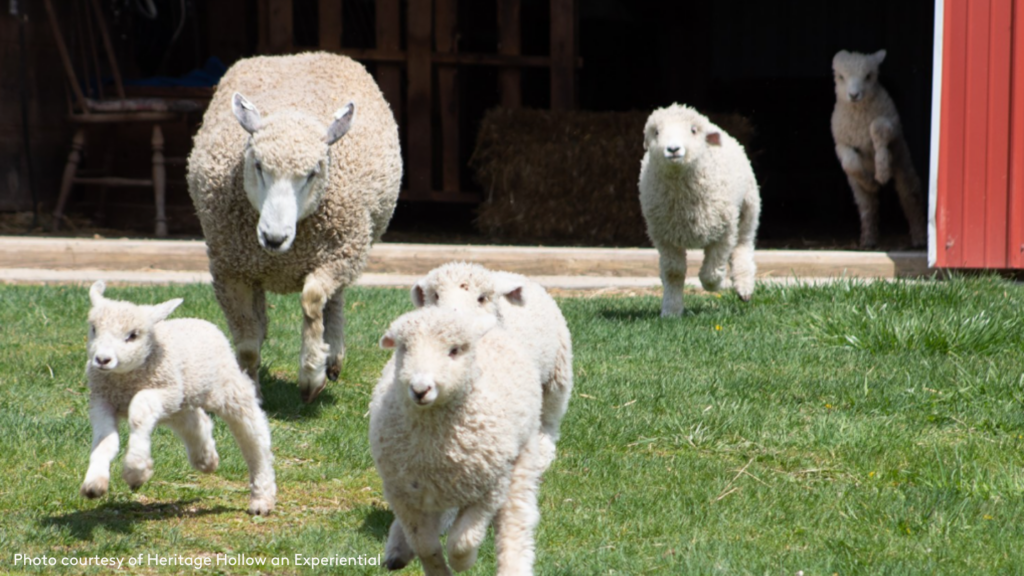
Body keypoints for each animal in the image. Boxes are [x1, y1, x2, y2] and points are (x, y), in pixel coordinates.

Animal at [79, 281, 276, 516]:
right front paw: (94, 482)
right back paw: (206, 459)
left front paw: (136, 470)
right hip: (180, 401)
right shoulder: (102, 400)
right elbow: (105, 440)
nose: (102, 359)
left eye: (133, 335)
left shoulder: (165, 389)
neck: (124, 382)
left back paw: (261, 497)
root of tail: (199, 321)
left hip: (225, 389)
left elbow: (139, 410)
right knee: (196, 421)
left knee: (254, 435)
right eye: (93, 328)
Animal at [186, 52, 402, 403]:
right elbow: (247, 346)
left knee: (334, 301)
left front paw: (312, 374)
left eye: (314, 171)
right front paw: (250, 388)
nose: (273, 238)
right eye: (257, 165)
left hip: (348, 249)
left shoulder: (335, 257)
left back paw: (333, 356)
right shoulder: (231, 270)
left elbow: (313, 300)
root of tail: (298, 55)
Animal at [369, 307, 551, 576]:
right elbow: (425, 545)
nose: (420, 389)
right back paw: (398, 551)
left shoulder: (488, 490)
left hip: (522, 457)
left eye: (454, 350)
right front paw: (437, 569)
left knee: (515, 519)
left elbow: (462, 541)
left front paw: (462, 563)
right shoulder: (402, 493)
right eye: (404, 348)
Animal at [638, 103, 761, 317]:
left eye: (693, 130)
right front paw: (671, 310)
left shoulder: (724, 232)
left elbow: (712, 270)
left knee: (743, 244)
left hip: (749, 206)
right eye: (656, 132)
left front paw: (714, 285)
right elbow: (673, 272)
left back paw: (744, 287)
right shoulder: (664, 237)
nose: (673, 149)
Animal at [831, 49, 927, 249]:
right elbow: (850, 162)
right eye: (840, 77)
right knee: (867, 205)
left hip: (902, 162)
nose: (854, 95)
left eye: (868, 76)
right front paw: (872, 182)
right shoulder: (841, 142)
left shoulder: (891, 126)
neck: (858, 115)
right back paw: (868, 239)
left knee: (910, 197)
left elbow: (877, 128)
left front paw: (882, 172)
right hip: (855, 186)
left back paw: (919, 237)